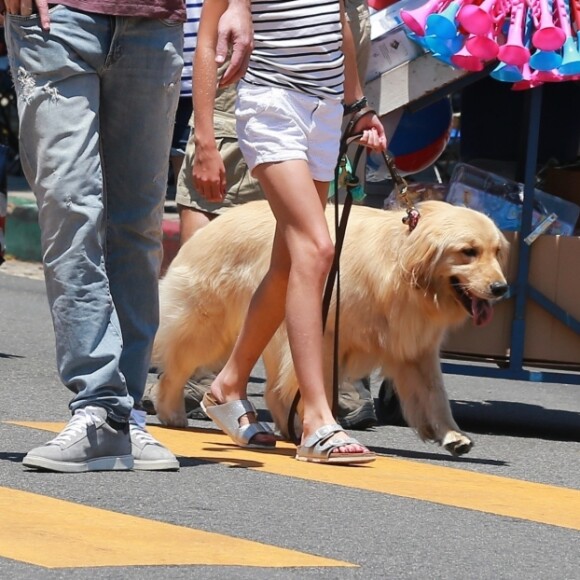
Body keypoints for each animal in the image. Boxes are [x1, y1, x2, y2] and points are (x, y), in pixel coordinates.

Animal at [153, 199, 508, 458]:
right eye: (468, 251)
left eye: (496, 252)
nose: (502, 288)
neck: (402, 266)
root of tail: (214, 222)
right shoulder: (325, 335)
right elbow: (314, 384)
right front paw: (324, 428)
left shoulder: (415, 347)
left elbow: (435, 395)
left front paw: (452, 435)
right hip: (209, 325)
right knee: (174, 366)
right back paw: (171, 412)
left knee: (269, 388)